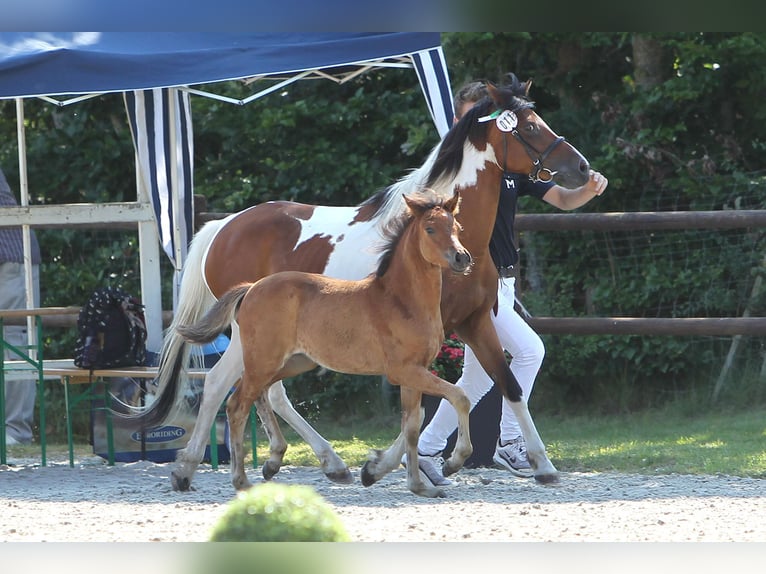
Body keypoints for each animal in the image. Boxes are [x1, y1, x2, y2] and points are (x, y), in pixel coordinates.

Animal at [178, 195, 474, 500]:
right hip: (263, 361)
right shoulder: (404, 371)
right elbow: (459, 396)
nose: (461, 257)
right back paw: (240, 480)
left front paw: (414, 484)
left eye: (457, 227)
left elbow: (413, 425)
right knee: (236, 404)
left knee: (257, 395)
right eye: (430, 229)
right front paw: (454, 461)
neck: (400, 300)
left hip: (291, 362)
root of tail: (250, 289)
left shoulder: (414, 374)